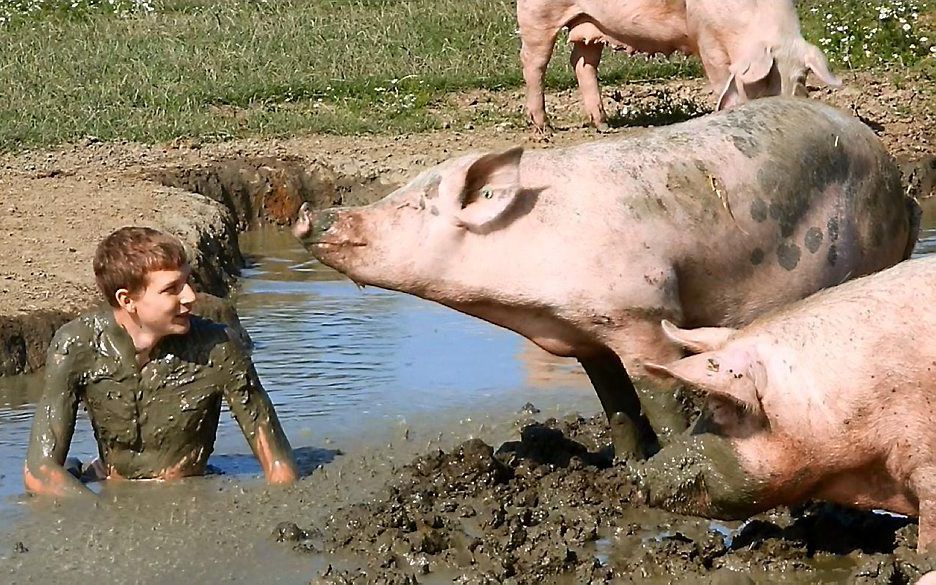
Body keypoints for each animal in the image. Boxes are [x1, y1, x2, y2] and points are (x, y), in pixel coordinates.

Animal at [294, 98, 920, 458]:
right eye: (398, 192)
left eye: (410, 206)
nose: (310, 214)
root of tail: (901, 183)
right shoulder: (584, 333)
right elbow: (615, 403)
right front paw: (624, 466)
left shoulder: (642, 311)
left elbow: (660, 396)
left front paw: (668, 464)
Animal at [520, 0, 840, 131]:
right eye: (763, 81)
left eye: (801, 79)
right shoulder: (706, 37)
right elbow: (719, 78)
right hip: (537, 14)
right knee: (534, 62)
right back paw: (544, 126)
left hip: (590, 24)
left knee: (582, 61)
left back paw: (603, 125)